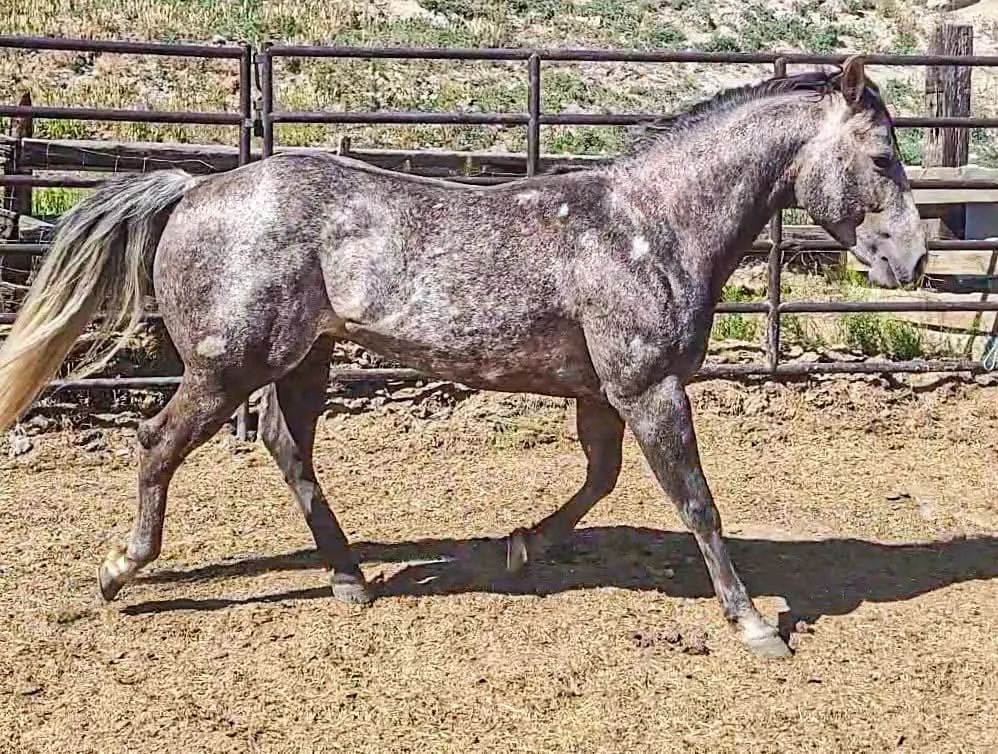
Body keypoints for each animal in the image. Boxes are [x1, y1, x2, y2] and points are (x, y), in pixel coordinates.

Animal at [0, 55, 926, 658]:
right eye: (883, 157)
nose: (912, 263)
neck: (652, 226)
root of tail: (196, 187)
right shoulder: (650, 388)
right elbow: (696, 503)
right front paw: (756, 626)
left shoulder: (603, 394)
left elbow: (599, 481)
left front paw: (518, 545)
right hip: (227, 367)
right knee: (158, 442)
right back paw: (120, 571)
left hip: (305, 361)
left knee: (288, 451)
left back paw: (351, 582)